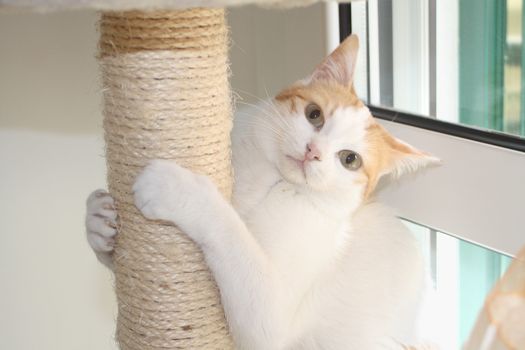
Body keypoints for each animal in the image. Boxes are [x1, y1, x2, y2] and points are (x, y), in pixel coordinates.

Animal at [86, 34, 438, 348]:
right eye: (314, 114)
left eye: (349, 159)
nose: (313, 152)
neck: (268, 180)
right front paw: (98, 221)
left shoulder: (270, 317)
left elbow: (229, 231)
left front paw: (175, 188)